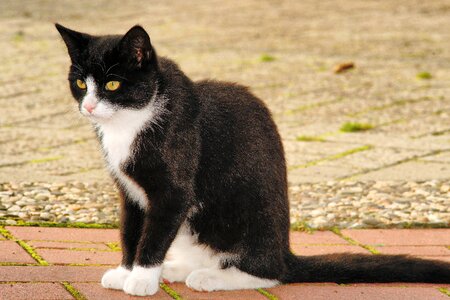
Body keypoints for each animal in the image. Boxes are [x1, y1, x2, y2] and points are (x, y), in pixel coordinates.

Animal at [56, 24, 450, 296]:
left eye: (112, 85)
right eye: (80, 84)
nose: (88, 106)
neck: (131, 122)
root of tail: (285, 251)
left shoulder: (173, 191)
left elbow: (153, 234)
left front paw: (140, 278)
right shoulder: (130, 192)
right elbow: (130, 230)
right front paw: (126, 271)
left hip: (248, 218)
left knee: (268, 273)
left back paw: (211, 277)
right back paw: (180, 268)